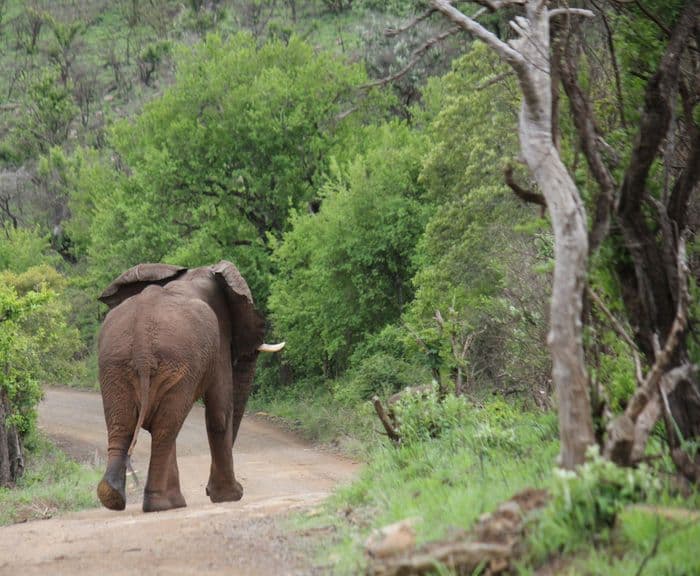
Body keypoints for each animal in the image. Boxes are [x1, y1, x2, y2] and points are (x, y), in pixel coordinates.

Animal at [95, 261, 284, 513]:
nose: (206, 490)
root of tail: (143, 336)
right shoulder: (220, 339)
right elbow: (220, 413)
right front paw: (230, 496)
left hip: (114, 363)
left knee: (124, 424)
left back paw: (115, 497)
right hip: (175, 362)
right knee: (166, 428)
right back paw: (160, 505)